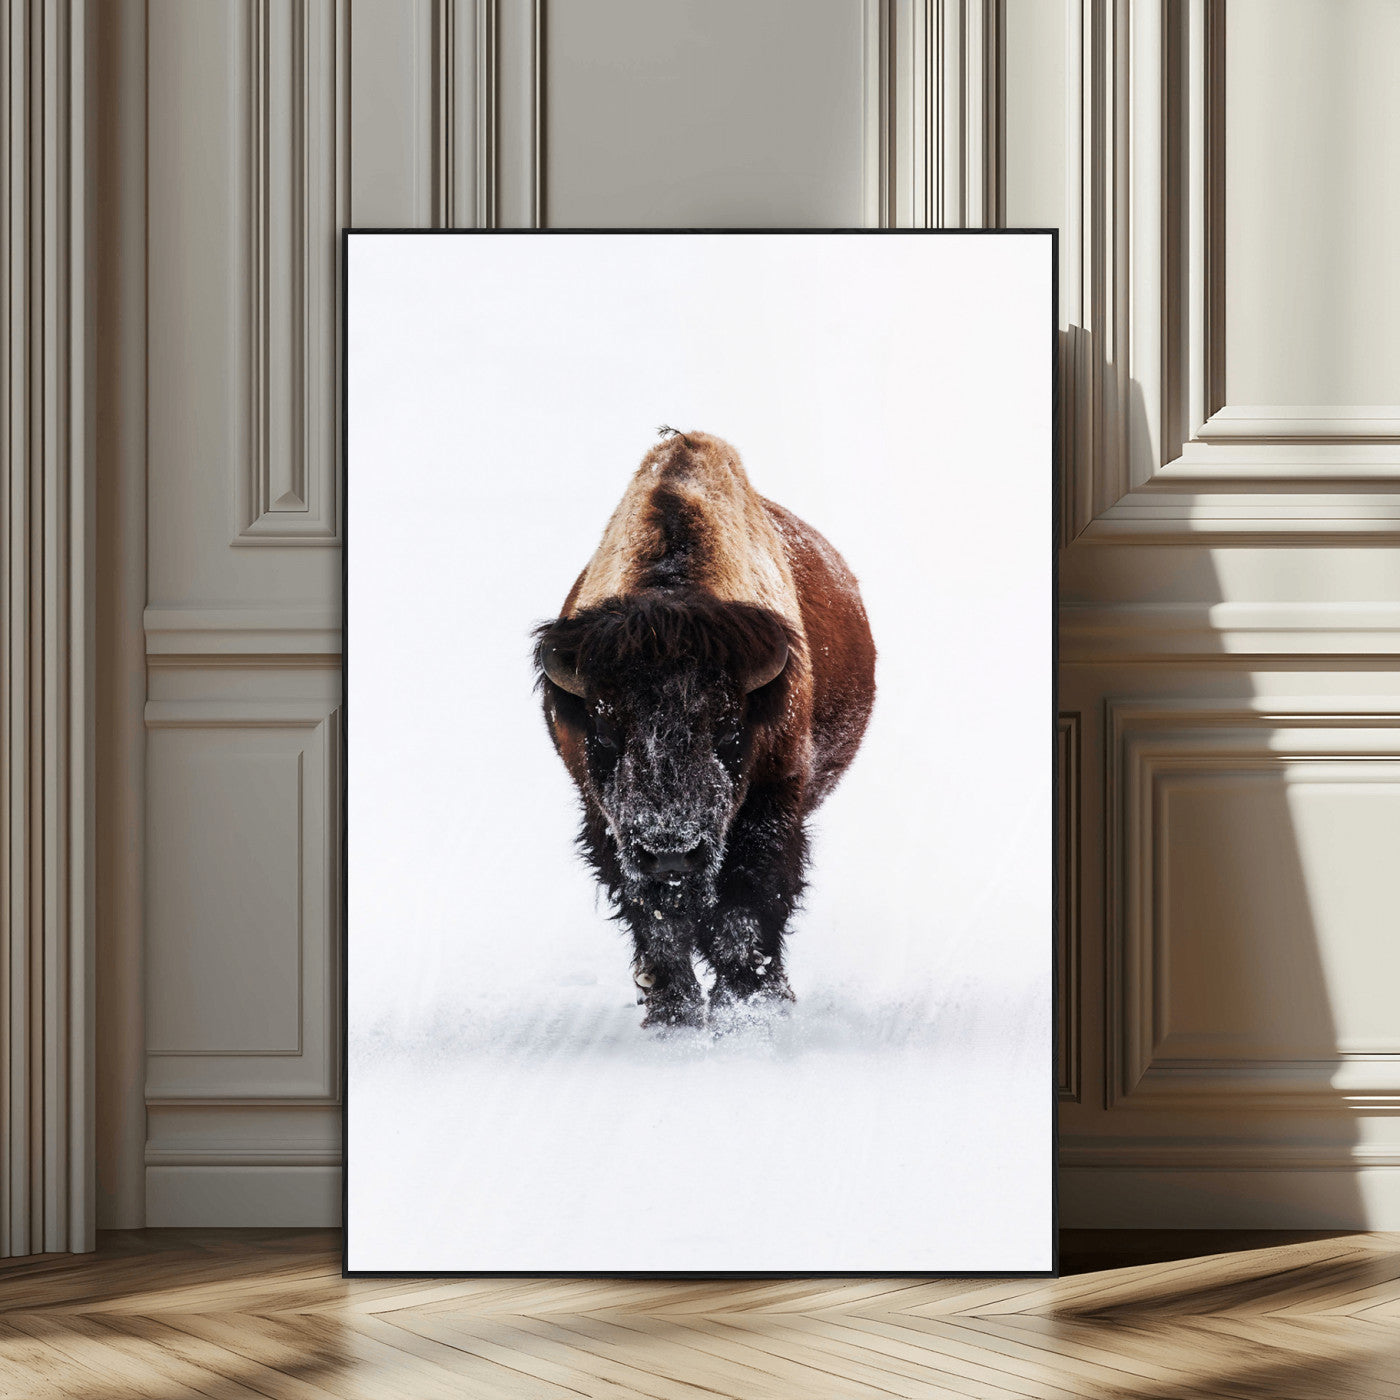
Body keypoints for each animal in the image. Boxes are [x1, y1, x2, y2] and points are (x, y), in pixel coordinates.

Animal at [534, 430, 876, 1028]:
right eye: (605, 730)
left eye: (729, 730)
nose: (671, 852)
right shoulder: (607, 823)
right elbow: (657, 920)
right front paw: (673, 1012)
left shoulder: (770, 807)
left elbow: (745, 911)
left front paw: (748, 1006)